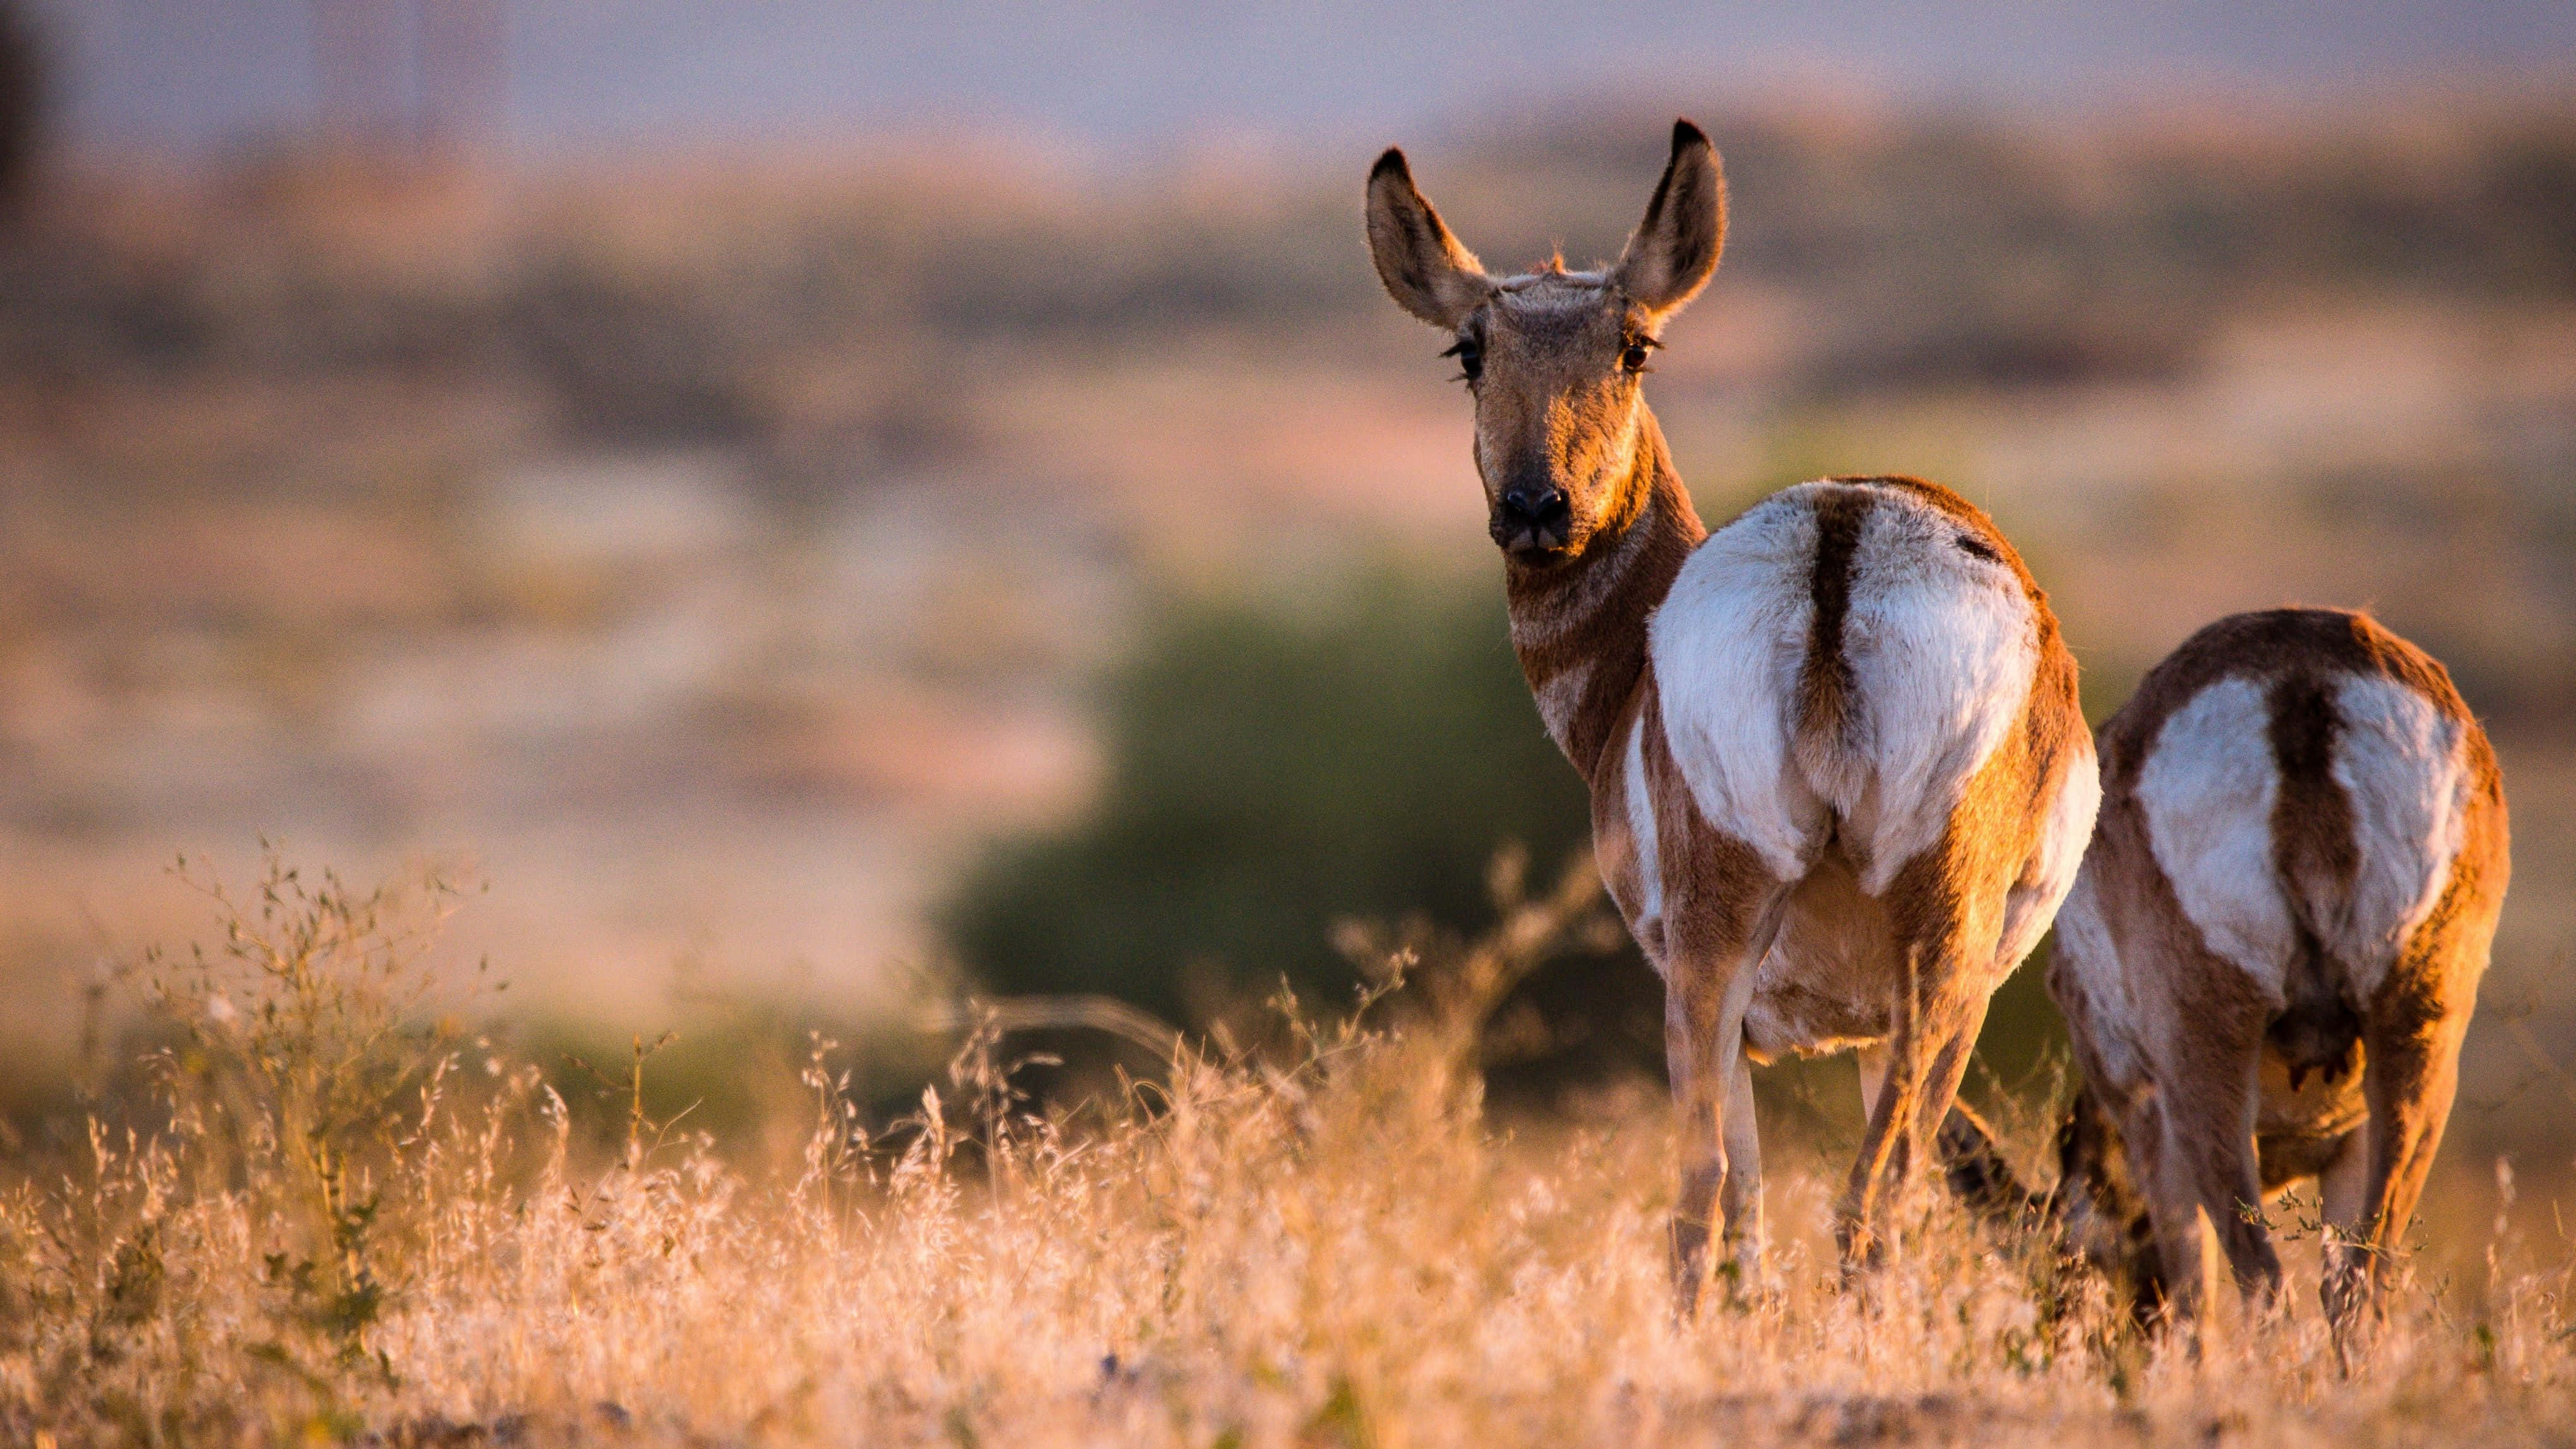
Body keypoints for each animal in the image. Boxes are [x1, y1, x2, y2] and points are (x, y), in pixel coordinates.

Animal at [1364, 120, 2099, 1309]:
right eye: (1468, 350)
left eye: (1634, 346)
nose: (1535, 509)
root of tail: (1839, 537)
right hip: (1908, 968)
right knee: (1843, 1200)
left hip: (1765, 970)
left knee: (1737, 1198)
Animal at [2047, 608, 2509, 1339]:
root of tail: (2300, 684)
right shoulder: (2349, 1145)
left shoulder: (2150, 1119)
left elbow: (2193, 1301)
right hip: (2418, 1053)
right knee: (2357, 1290)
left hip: (2206, 1075)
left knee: (2259, 1283)